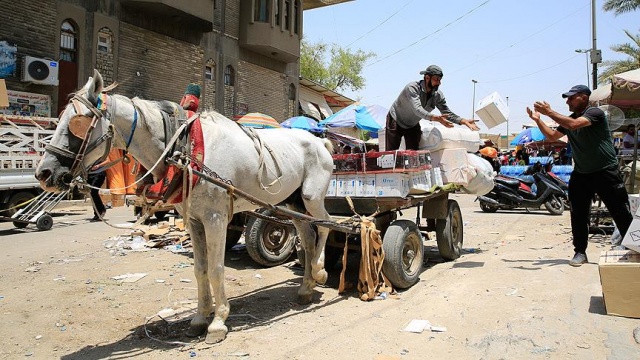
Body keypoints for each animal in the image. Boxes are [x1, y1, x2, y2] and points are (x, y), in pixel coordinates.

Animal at [35, 69, 336, 344]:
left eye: (79, 122)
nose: (44, 173)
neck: (186, 149)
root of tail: (321, 141)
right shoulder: (194, 220)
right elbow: (200, 269)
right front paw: (201, 318)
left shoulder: (215, 218)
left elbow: (216, 269)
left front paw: (218, 322)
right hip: (292, 203)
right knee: (307, 235)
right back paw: (306, 287)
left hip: (311, 197)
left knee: (326, 226)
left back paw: (320, 271)